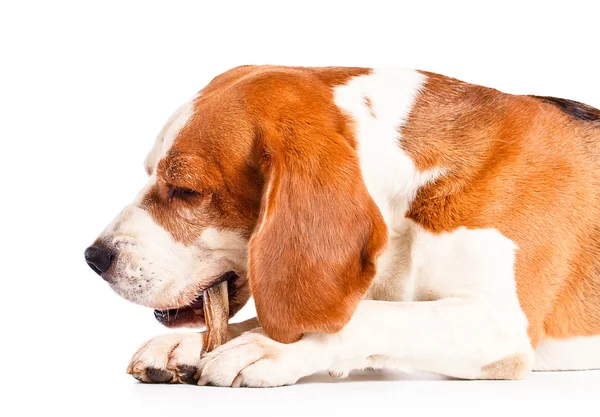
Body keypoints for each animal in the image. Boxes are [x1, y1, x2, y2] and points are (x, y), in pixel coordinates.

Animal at [84, 65, 600, 386]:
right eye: (149, 172)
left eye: (186, 190)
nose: (94, 257)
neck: (414, 189)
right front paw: (190, 346)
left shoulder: (500, 326)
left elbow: (367, 317)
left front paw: (267, 349)